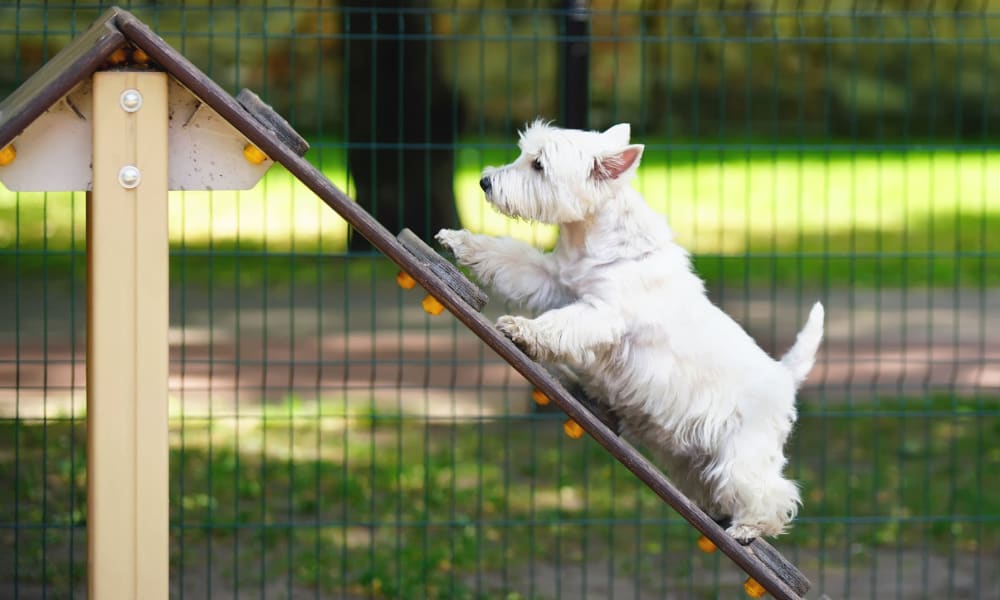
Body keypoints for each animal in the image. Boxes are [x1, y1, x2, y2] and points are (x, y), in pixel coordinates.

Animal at [436, 119, 820, 540]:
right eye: (524, 154)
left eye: (538, 165)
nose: (484, 181)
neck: (592, 239)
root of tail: (784, 375)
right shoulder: (552, 279)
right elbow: (509, 257)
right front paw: (459, 241)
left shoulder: (603, 313)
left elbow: (561, 323)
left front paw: (522, 329)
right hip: (694, 456)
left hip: (743, 452)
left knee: (773, 491)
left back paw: (749, 527)